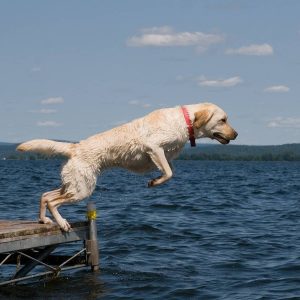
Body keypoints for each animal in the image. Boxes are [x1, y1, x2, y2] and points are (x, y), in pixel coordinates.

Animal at [17, 102, 237, 231]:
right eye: (223, 120)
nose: (236, 135)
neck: (186, 121)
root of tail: (75, 146)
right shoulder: (153, 147)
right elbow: (168, 173)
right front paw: (154, 182)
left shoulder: (165, 155)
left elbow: (170, 170)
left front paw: (155, 180)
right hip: (82, 189)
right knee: (53, 201)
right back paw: (62, 223)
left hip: (74, 184)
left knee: (45, 195)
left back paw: (44, 220)